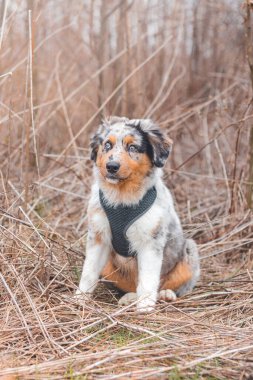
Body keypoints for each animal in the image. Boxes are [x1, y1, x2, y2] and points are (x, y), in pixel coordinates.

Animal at [75, 117, 200, 314]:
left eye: (132, 147)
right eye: (107, 145)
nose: (111, 166)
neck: (122, 198)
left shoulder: (151, 240)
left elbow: (148, 276)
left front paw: (145, 306)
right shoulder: (98, 236)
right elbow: (89, 271)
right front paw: (80, 299)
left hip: (190, 251)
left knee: (174, 285)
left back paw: (165, 294)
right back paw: (130, 298)